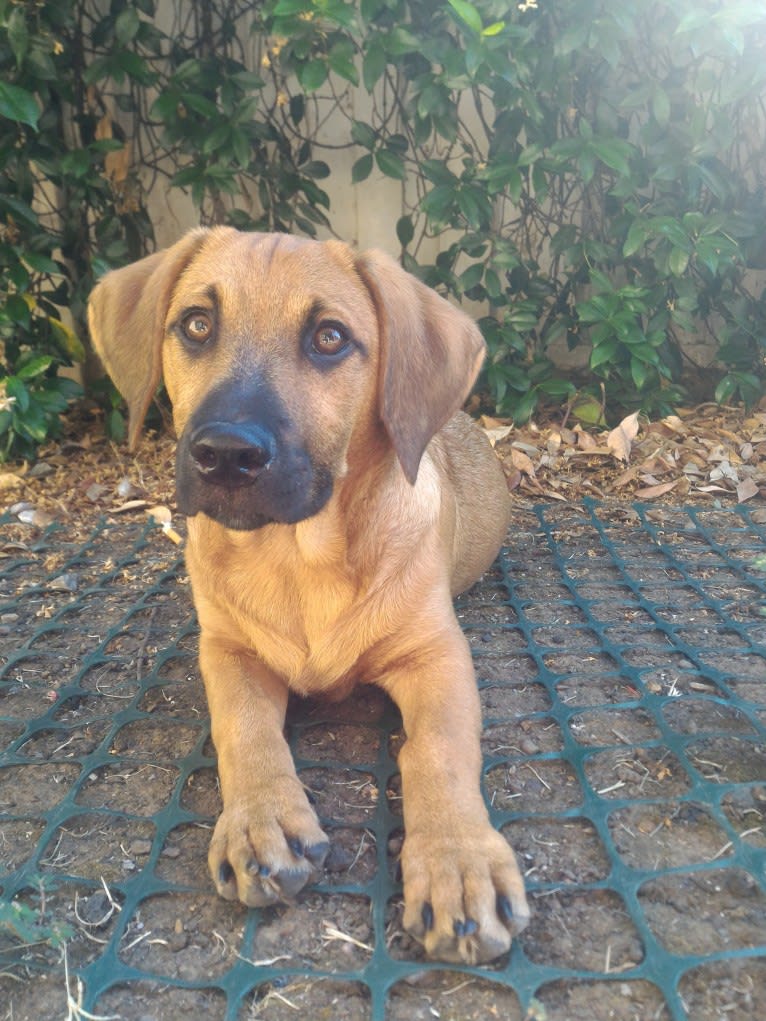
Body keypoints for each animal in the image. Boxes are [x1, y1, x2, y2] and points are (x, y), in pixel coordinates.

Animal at [86, 227, 531, 959]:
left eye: (330, 338)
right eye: (196, 324)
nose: (226, 454)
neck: (299, 557)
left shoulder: (436, 655)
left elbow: (438, 749)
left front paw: (458, 860)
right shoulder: (227, 651)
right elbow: (243, 729)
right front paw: (262, 819)